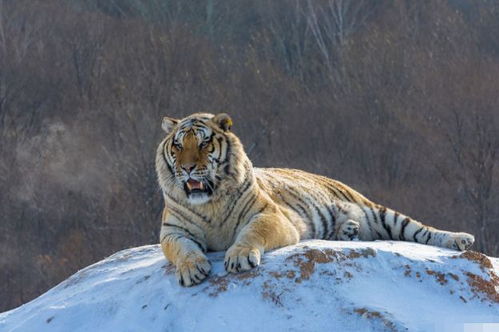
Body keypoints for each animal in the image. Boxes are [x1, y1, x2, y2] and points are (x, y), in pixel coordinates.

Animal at [156, 113, 476, 286]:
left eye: (204, 143)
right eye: (178, 145)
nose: (187, 168)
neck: (210, 201)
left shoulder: (270, 216)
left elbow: (251, 233)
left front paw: (239, 256)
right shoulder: (173, 231)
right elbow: (181, 249)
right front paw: (191, 270)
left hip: (380, 212)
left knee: (422, 230)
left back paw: (460, 239)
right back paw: (348, 230)